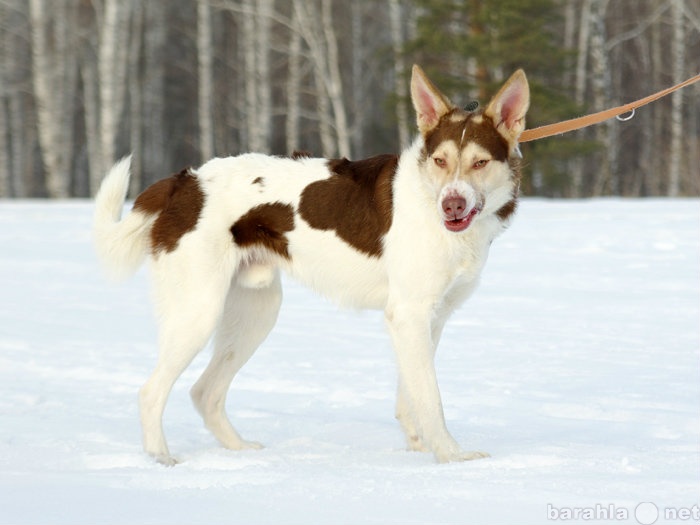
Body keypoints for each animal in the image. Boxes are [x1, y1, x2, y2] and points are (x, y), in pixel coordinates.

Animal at [94, 64, 532, 462]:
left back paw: (240, 451)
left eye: (479, 163)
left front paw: (420, 448)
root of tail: (184, 181)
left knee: (205, 391)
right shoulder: (409, 315)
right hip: (198, 311)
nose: (452, 204)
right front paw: (452, 456)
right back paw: (160, 457)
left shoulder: (428, 319)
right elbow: (430, 398)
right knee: (151, 391)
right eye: (440, 160)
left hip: (256, 312)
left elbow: (410, 398)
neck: (429, 198)